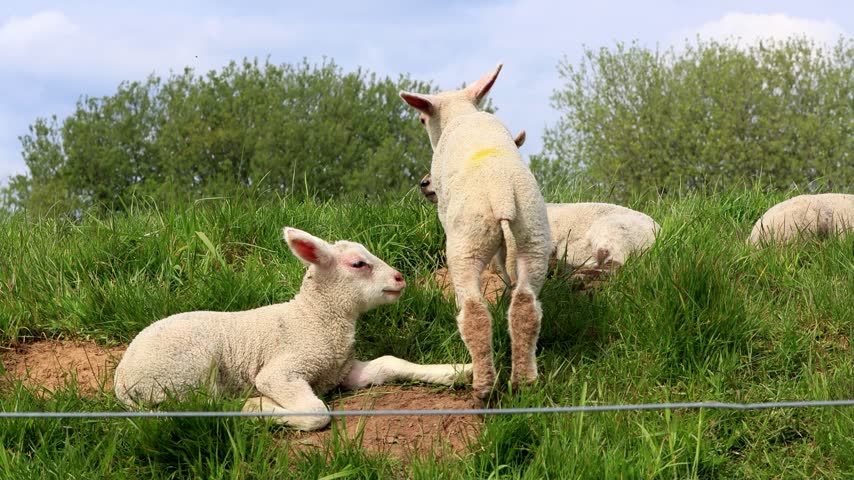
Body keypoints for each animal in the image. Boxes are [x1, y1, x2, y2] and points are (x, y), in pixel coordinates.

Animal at [114, 227, 472, 431]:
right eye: (358, 264)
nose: (400, 279)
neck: (312, 318)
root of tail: (121, 380)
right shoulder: (283, 371)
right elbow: (316, 413)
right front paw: (262, 405)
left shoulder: (339, 371)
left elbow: (390, 363)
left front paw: (461, 371)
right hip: (189, 370)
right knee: (204, 406)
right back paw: (250, 405)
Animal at [400, 64, 551, 399]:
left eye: (422, 120)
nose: (424, 184)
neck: (462, 114)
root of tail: (501, 193)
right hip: (532, 236)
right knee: (525, 306)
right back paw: (524, 381)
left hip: (466, 243)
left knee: (474, 313)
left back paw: (483, 386)